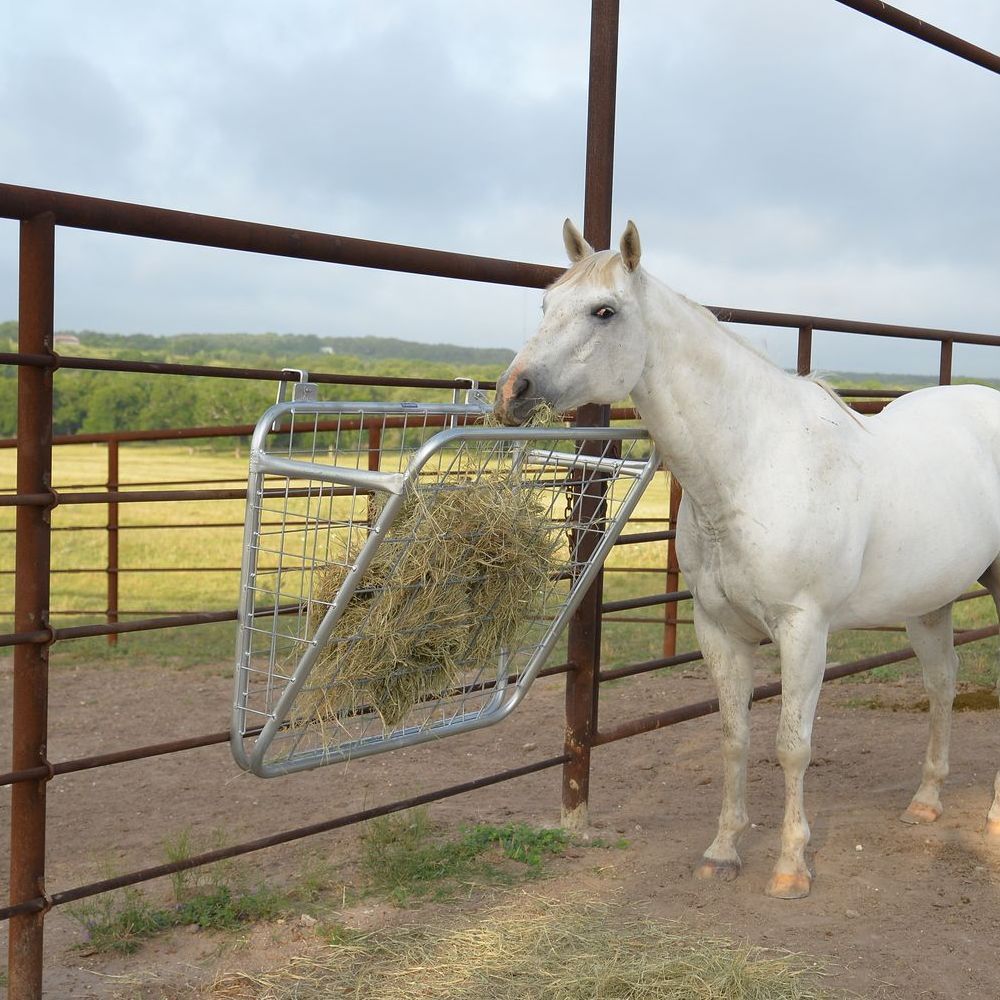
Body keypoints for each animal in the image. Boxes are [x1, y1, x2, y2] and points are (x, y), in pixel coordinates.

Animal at [494, 219, 1000, 898]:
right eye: (546, 304)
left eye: (605, 311)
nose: (512, 391)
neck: (752, 465)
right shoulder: (720, 629)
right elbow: (735, 738)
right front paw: (723, 851)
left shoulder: (804, 630)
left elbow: (792, 745)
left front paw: (791, 868)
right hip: (928, 602)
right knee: (943, 683)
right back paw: (925, 802)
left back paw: (992, 817)